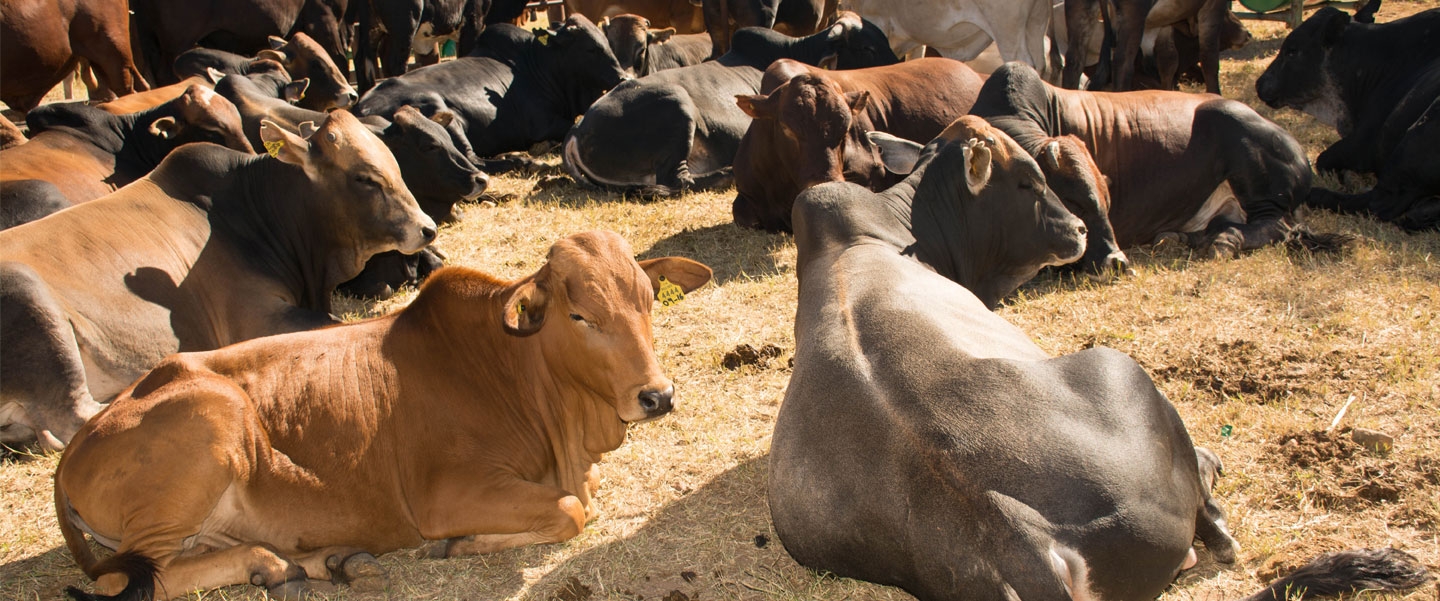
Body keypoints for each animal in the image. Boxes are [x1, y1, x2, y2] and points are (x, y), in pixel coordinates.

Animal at [53, 231, 712, 600]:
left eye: (647, 301)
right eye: (579, 316)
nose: (658, 396)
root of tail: (78, 443)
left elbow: (581, 500)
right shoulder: (443, 497)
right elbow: (574, 510)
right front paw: (457, 546)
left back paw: (322, 562)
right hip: (208, 432)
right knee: (120, 580)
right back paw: (274, 565)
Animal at [354, 15, 627, 169]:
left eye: (605, 40)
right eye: (590, 48)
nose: (623, 77)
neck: (538, 64)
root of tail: (360, 108)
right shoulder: (544, 125)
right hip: (440, 109)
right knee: (473, 161)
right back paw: (524, 161)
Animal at [769, 114, 1431, 601]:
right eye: (1028, 180)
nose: (1081, 231)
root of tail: (1013, 526)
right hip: (1119, 368)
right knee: (1215, 523)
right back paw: (1214, 481)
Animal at [970, 63, 1314, 275]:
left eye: (1104, 202)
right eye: (1072, 202)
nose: (1117, 262)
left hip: (1245, 151)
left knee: (1277, 226)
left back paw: (1225, 241)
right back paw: (1183, 238)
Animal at [1255, 7, 1440, 231]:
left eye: (1292, 51)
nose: (1260, 83)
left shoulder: (1363, 144)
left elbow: (1323, 159)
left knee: (1379, 202)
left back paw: (1317, 194)